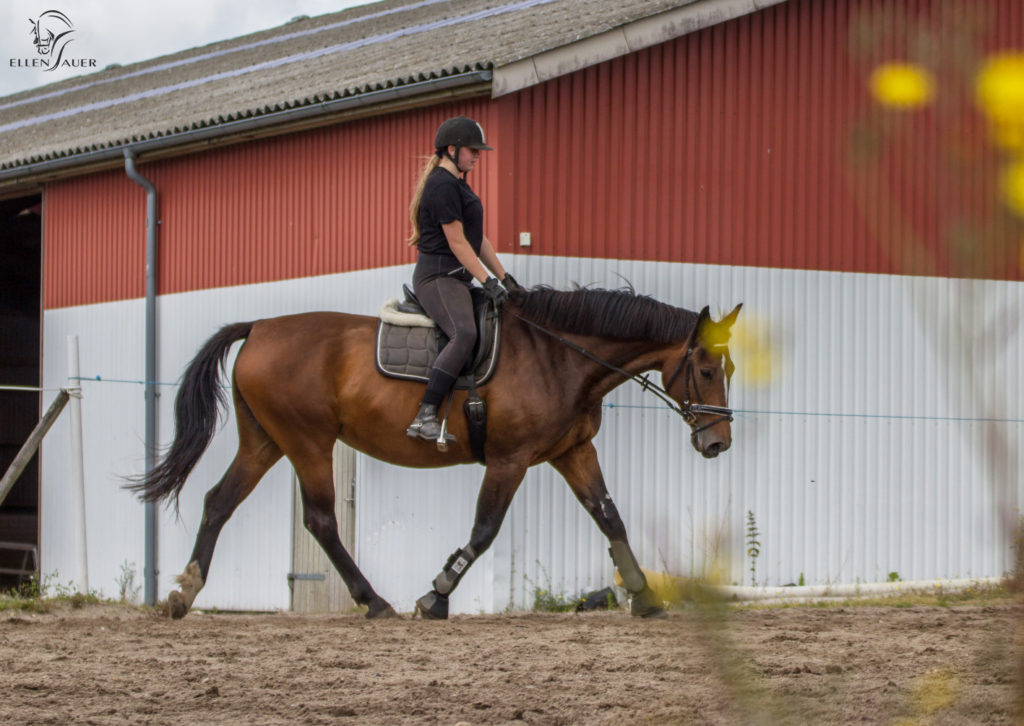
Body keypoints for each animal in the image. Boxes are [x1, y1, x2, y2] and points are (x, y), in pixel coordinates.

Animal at [128, 282, 741, 618]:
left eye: (730, 368)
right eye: (707, 369)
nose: (718, 443)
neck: (559, 355)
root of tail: (258, 327)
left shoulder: (573, 452)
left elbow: (610, 518)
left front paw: (645, 597)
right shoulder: (510, 460)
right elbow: (484, 530)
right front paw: (436, 596)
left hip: (266, 442)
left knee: (218, 502)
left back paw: (184, 593)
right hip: (307, 442)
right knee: (321, 519)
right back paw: (374, 602)